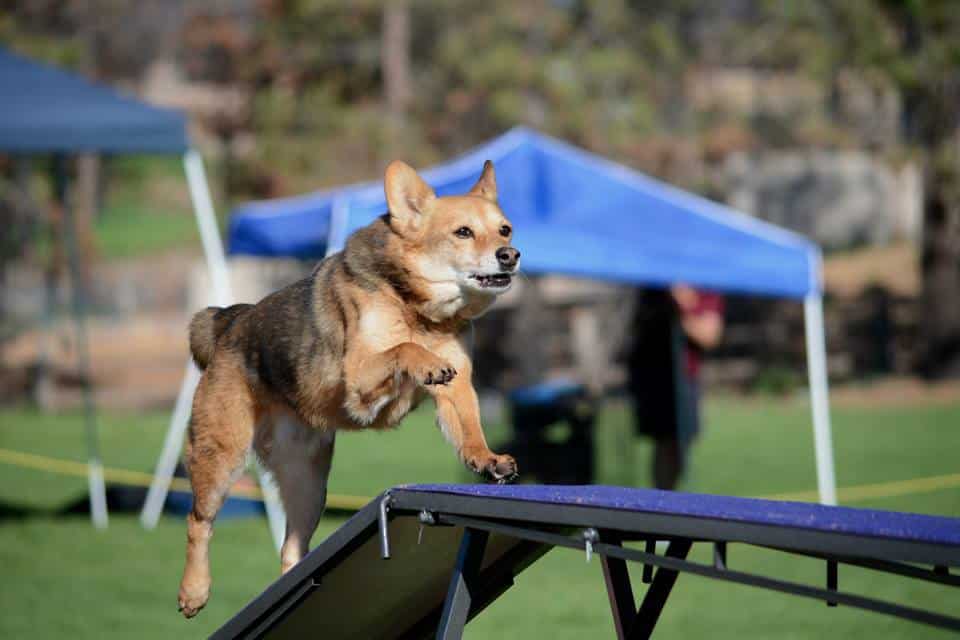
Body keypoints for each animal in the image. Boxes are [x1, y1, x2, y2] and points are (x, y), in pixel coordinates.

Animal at [176, 158, 520, 616]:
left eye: (505, 230)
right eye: (463, 232)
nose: (511, 256)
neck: (417, 307)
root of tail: (230, 323)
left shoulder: (458, 383)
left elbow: (469, 427)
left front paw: (487, 459)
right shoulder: (358, 377)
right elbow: (403, 348)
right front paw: (424, 361)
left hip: (308, 486)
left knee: (291, 551)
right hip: (221, 456)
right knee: (199, 522)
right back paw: (194, 591)